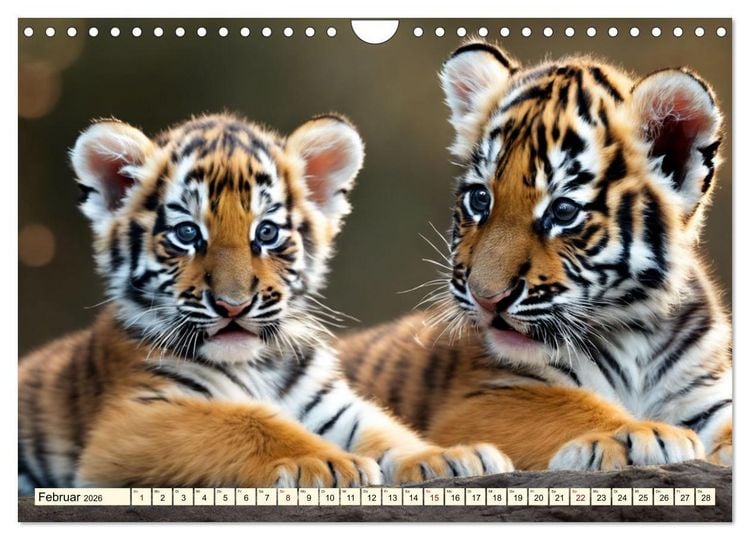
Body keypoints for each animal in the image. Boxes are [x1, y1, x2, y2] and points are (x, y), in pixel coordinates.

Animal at [18, 112, 513, 494]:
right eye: (187, 234)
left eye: (268, 233)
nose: (233, 306)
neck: (259, 365)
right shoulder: (139, 415)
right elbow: (245, 421)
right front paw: (327, 462)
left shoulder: (332, 404)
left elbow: (386, 430)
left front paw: (449, 457)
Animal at [338, 41, 732, 471]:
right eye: (480, 199)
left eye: (563, 211)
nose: (487, 298)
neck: (635, 335)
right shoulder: (487, 396)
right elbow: (571, 409)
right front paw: (641, 433)